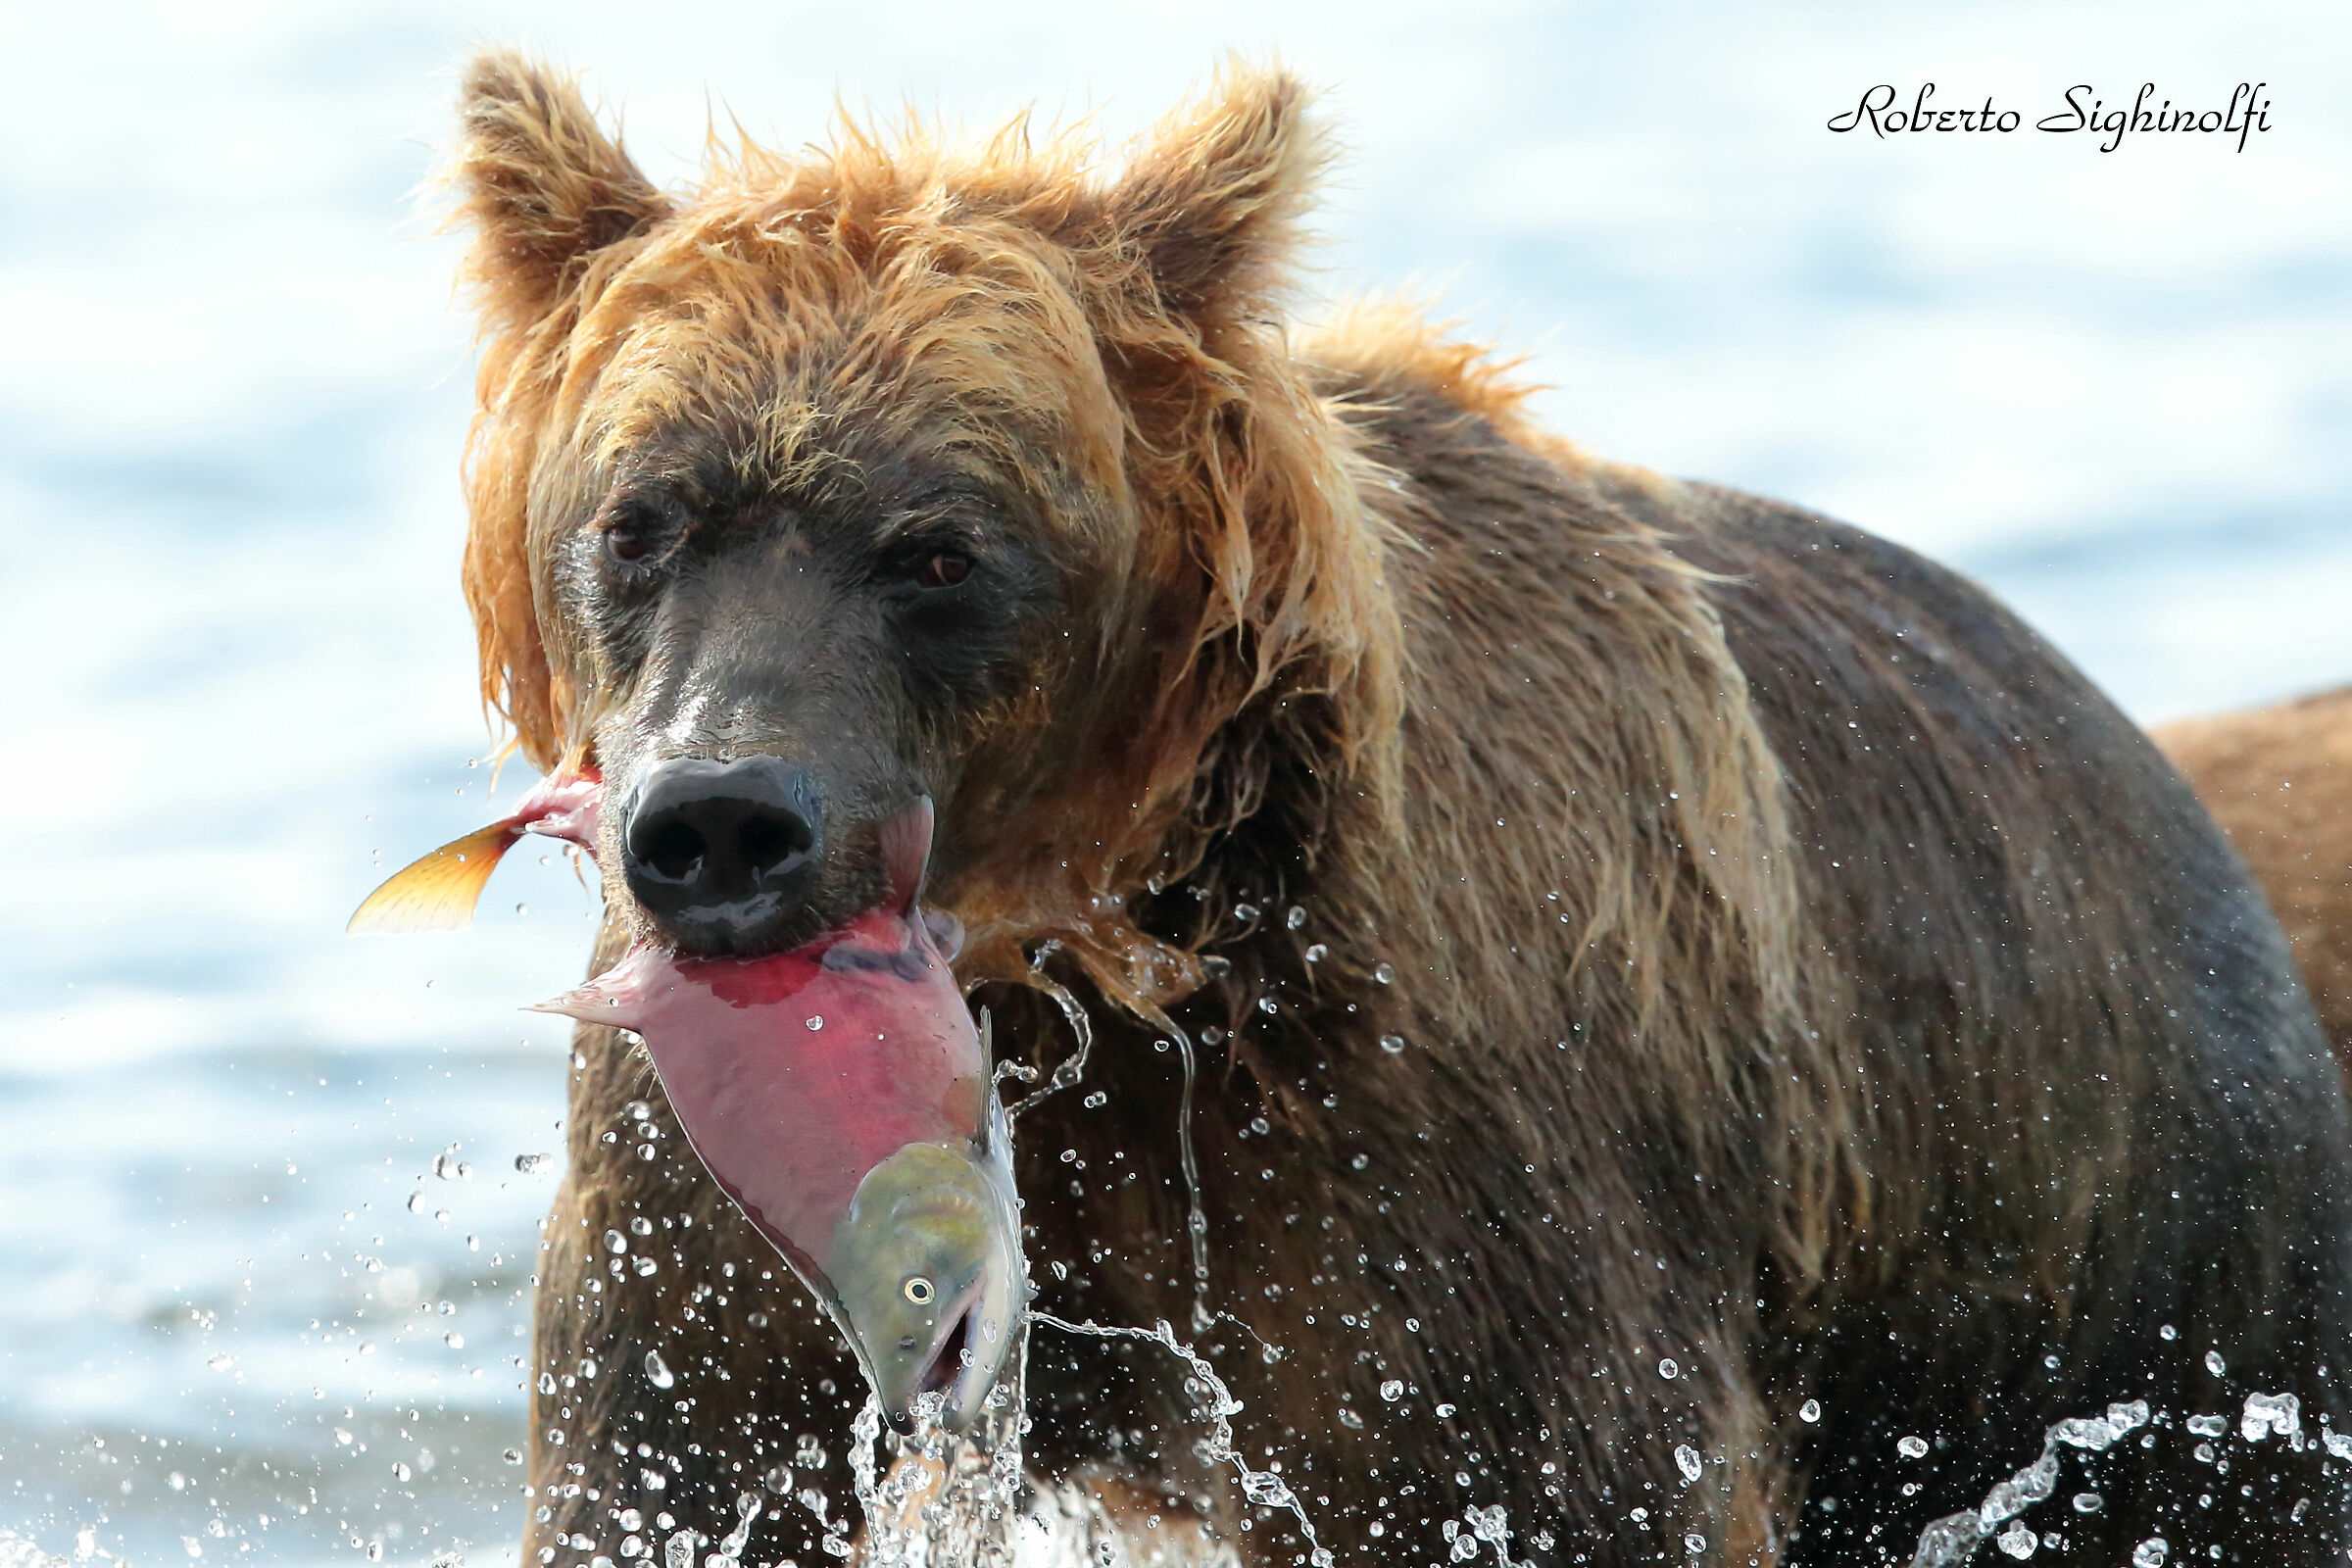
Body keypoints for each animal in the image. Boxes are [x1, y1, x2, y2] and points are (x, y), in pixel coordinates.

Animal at [441, 52, 2352, 1568]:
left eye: (939, 550)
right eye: (642, 519)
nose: (723, 819)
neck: (1098, 961)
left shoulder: (1447, 1161)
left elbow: (1563, 1475)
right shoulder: (711, 1199)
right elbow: (671, 1464)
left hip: (2164, 1305)